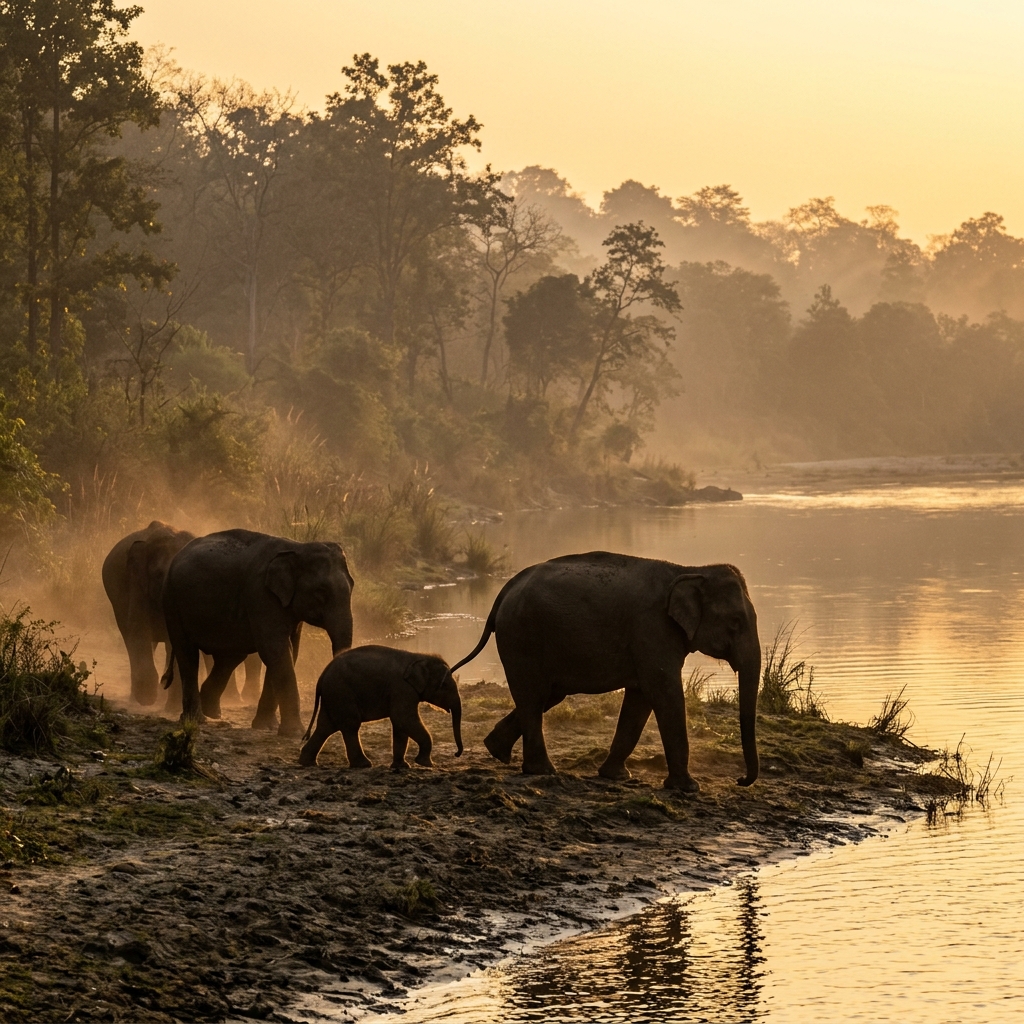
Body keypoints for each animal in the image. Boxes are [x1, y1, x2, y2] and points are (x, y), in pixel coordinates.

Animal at [102, 522, 264, 708]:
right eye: (158, 574)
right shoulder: (137, 585)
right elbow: (139, 629)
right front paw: (147, 699)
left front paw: (170, 707)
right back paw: (138, 699)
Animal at [162, 529, 354, 736]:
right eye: (321, 592)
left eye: (352, 587)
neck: (298, 547)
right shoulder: (260, 595)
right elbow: (276, 650)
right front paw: (294, 733)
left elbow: (289, 651)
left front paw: (266, 726)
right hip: (172, 602)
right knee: (188, 653)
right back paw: (197, 719)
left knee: (230, 657)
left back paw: (211, 713)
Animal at [298, 646, 463, 769]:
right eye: (445, 685)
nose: (456, 754)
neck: (418, 657)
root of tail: (322, 675)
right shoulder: (402, 688)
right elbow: (403, 719)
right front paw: (426, 764)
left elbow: (400, 724)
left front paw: (402, 766)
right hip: (341, 692)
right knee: (350, 725)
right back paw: (363, 765)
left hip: (333, 695)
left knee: (326, 726)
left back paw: (307, 762)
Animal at [451, 551, 760, 792]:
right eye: (735, 622)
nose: (740, 780)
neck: (690, 570)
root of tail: (505, 590)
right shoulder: (652, 629)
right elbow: (664, 692)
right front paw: (689, 788)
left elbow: (640, 698)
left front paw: (616, 776)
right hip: (522, 636)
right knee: (533, 695)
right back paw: (542, 770)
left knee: (545, 696)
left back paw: (497, 750)